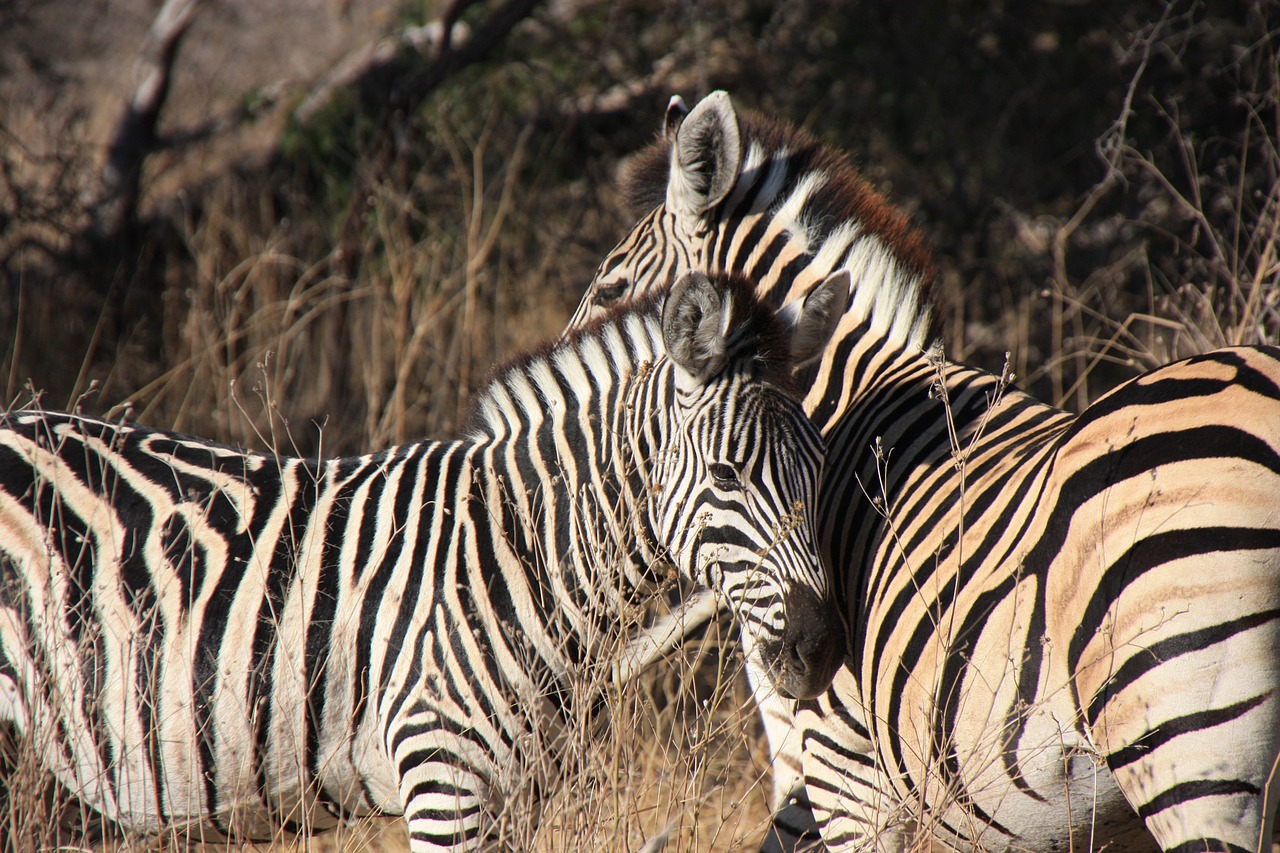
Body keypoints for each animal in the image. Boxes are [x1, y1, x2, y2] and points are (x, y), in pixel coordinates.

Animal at [0, 270, 849, 850]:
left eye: (820, 466)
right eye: (727, 476)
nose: (818, 648)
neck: (524, 553)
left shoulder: (514, 801)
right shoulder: (445, 783)